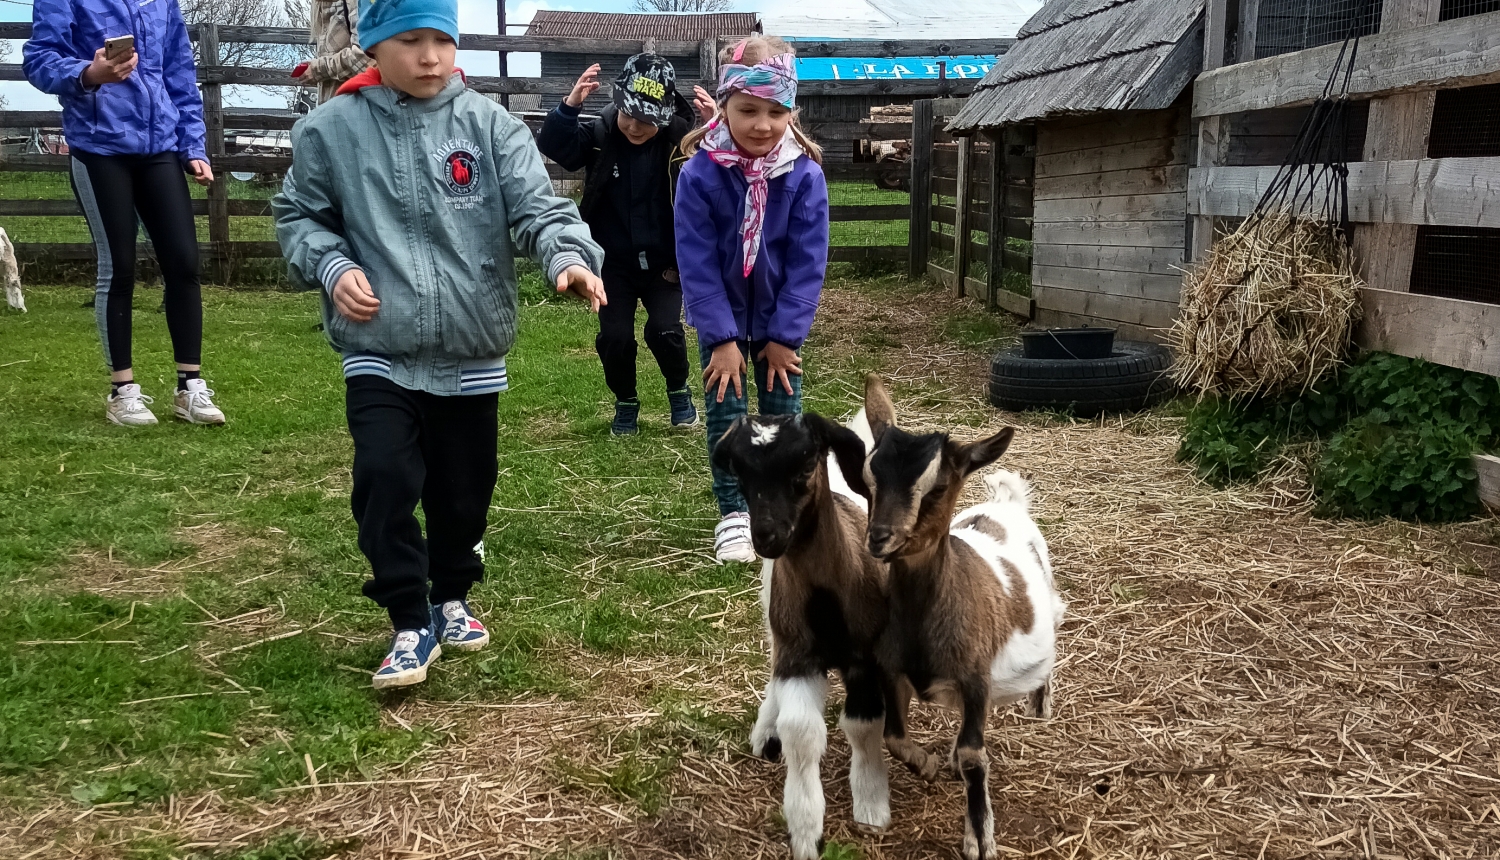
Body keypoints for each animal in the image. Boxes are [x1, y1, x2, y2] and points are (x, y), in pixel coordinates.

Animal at [711, 408, 888, 858]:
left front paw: (871, 805)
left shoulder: (865, 659)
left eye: (806, 465)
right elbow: (801, 733)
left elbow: (863, 726)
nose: (766, 537)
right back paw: (766, 732)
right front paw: (808, 830)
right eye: (739, 472)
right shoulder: (797, 655)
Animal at [846, 373, 1068, 858]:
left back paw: (1040, 703)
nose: (880, 538)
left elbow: (973, 755)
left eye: (937, 487)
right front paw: (927, 765)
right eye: (867, 479)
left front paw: (980, 837)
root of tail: (1007, 505)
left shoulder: (975, 678)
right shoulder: (893, 670)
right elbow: (894, 736)